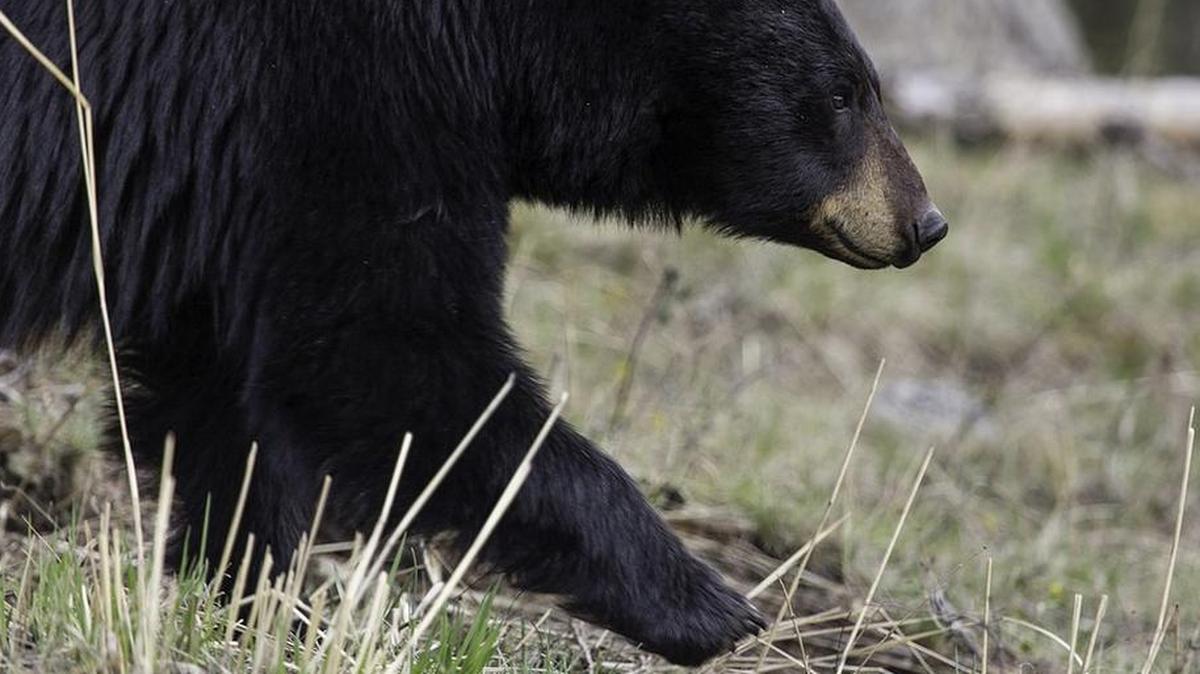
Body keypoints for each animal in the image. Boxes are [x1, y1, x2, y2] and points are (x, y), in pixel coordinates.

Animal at [0, 0, 947, 665]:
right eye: (844, 93)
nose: (926, 222)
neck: (492, 33)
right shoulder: (339, 96)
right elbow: (390, 355)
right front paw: (708, 605)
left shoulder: (228, 191)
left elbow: (215, 397)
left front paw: (267, 602)